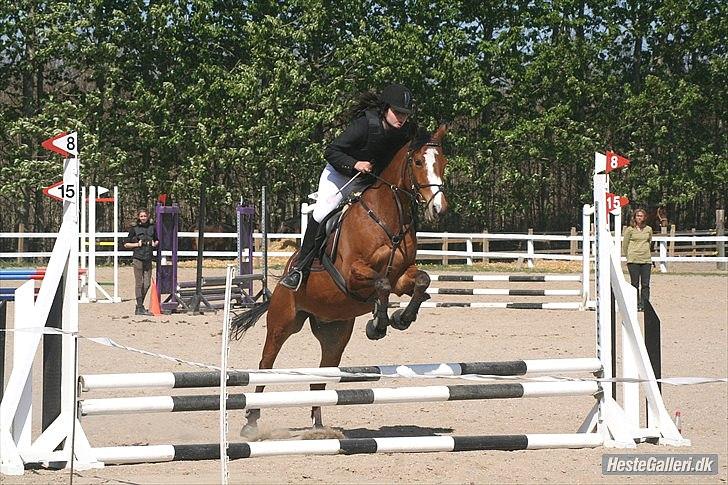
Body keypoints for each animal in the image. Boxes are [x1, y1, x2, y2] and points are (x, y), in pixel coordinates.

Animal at [233, 124, 450, 434]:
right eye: (419, 162)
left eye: (443, 163)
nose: (438, 209)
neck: (386, 217)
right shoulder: (352, 275)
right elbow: (381, 284)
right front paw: (378, 324)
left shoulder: (402, 276)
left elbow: (421, 281)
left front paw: (401, 318)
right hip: (283, 323)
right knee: (265, 365)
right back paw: (251, 421)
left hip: (334, 332)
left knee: (321, 377)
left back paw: (318, 427)